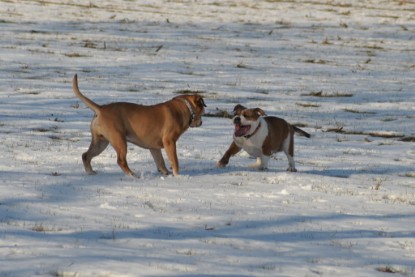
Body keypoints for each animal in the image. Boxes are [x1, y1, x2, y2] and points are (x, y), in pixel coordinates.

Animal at [74, 73, 207, 177]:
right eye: (202, 112)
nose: (201, 122)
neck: (184, 107)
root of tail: (101, 109)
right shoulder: (170, 141)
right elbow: (174, 160)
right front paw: (178, 176)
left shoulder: (154, 147)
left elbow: (160, 161)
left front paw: (166, 174)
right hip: (119, 140)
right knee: (121, 160)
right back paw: (133, 175)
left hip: (100, 142)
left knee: (86, 155)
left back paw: (90, 172)